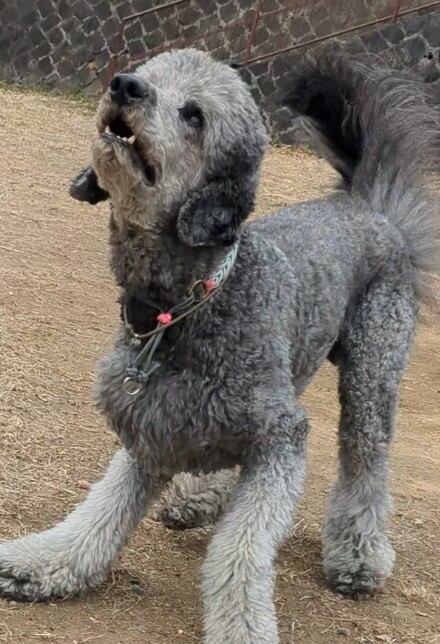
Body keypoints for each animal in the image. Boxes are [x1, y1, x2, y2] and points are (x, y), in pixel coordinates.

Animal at [0, 49, 438, 644]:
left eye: (195, 116)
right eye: (148, 74)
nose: (125, 85)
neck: (190, 307)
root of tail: (367, 206)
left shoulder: (282, 439)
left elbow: (241, 548)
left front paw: (242, 629)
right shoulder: (152, 428)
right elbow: (100, 512)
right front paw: (43, 563)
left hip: (372, 373)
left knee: (365, 461)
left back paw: (358, 555)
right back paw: (200, 495)